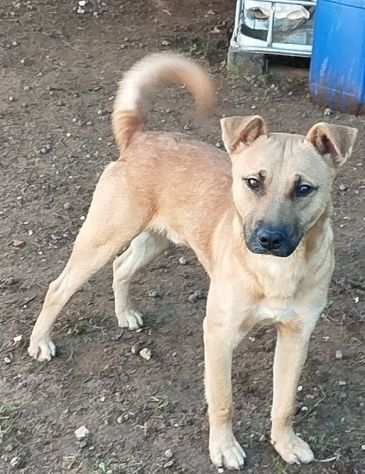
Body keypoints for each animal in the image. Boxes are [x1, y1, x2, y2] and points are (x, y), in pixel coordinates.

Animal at [27, 52, 356, 470]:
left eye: (304, 189)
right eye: (253, 182)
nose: (268, 239)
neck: (275, 272)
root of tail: (140, 137)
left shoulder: (297, 336)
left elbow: (284, 403)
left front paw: (285, 442)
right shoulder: (218, 335)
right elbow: (222, 402)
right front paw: (224, 448)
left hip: (155, 240)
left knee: (121, 267)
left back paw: (124, 313)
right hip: (102, 238)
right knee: (59, 287)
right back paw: (40, 342)